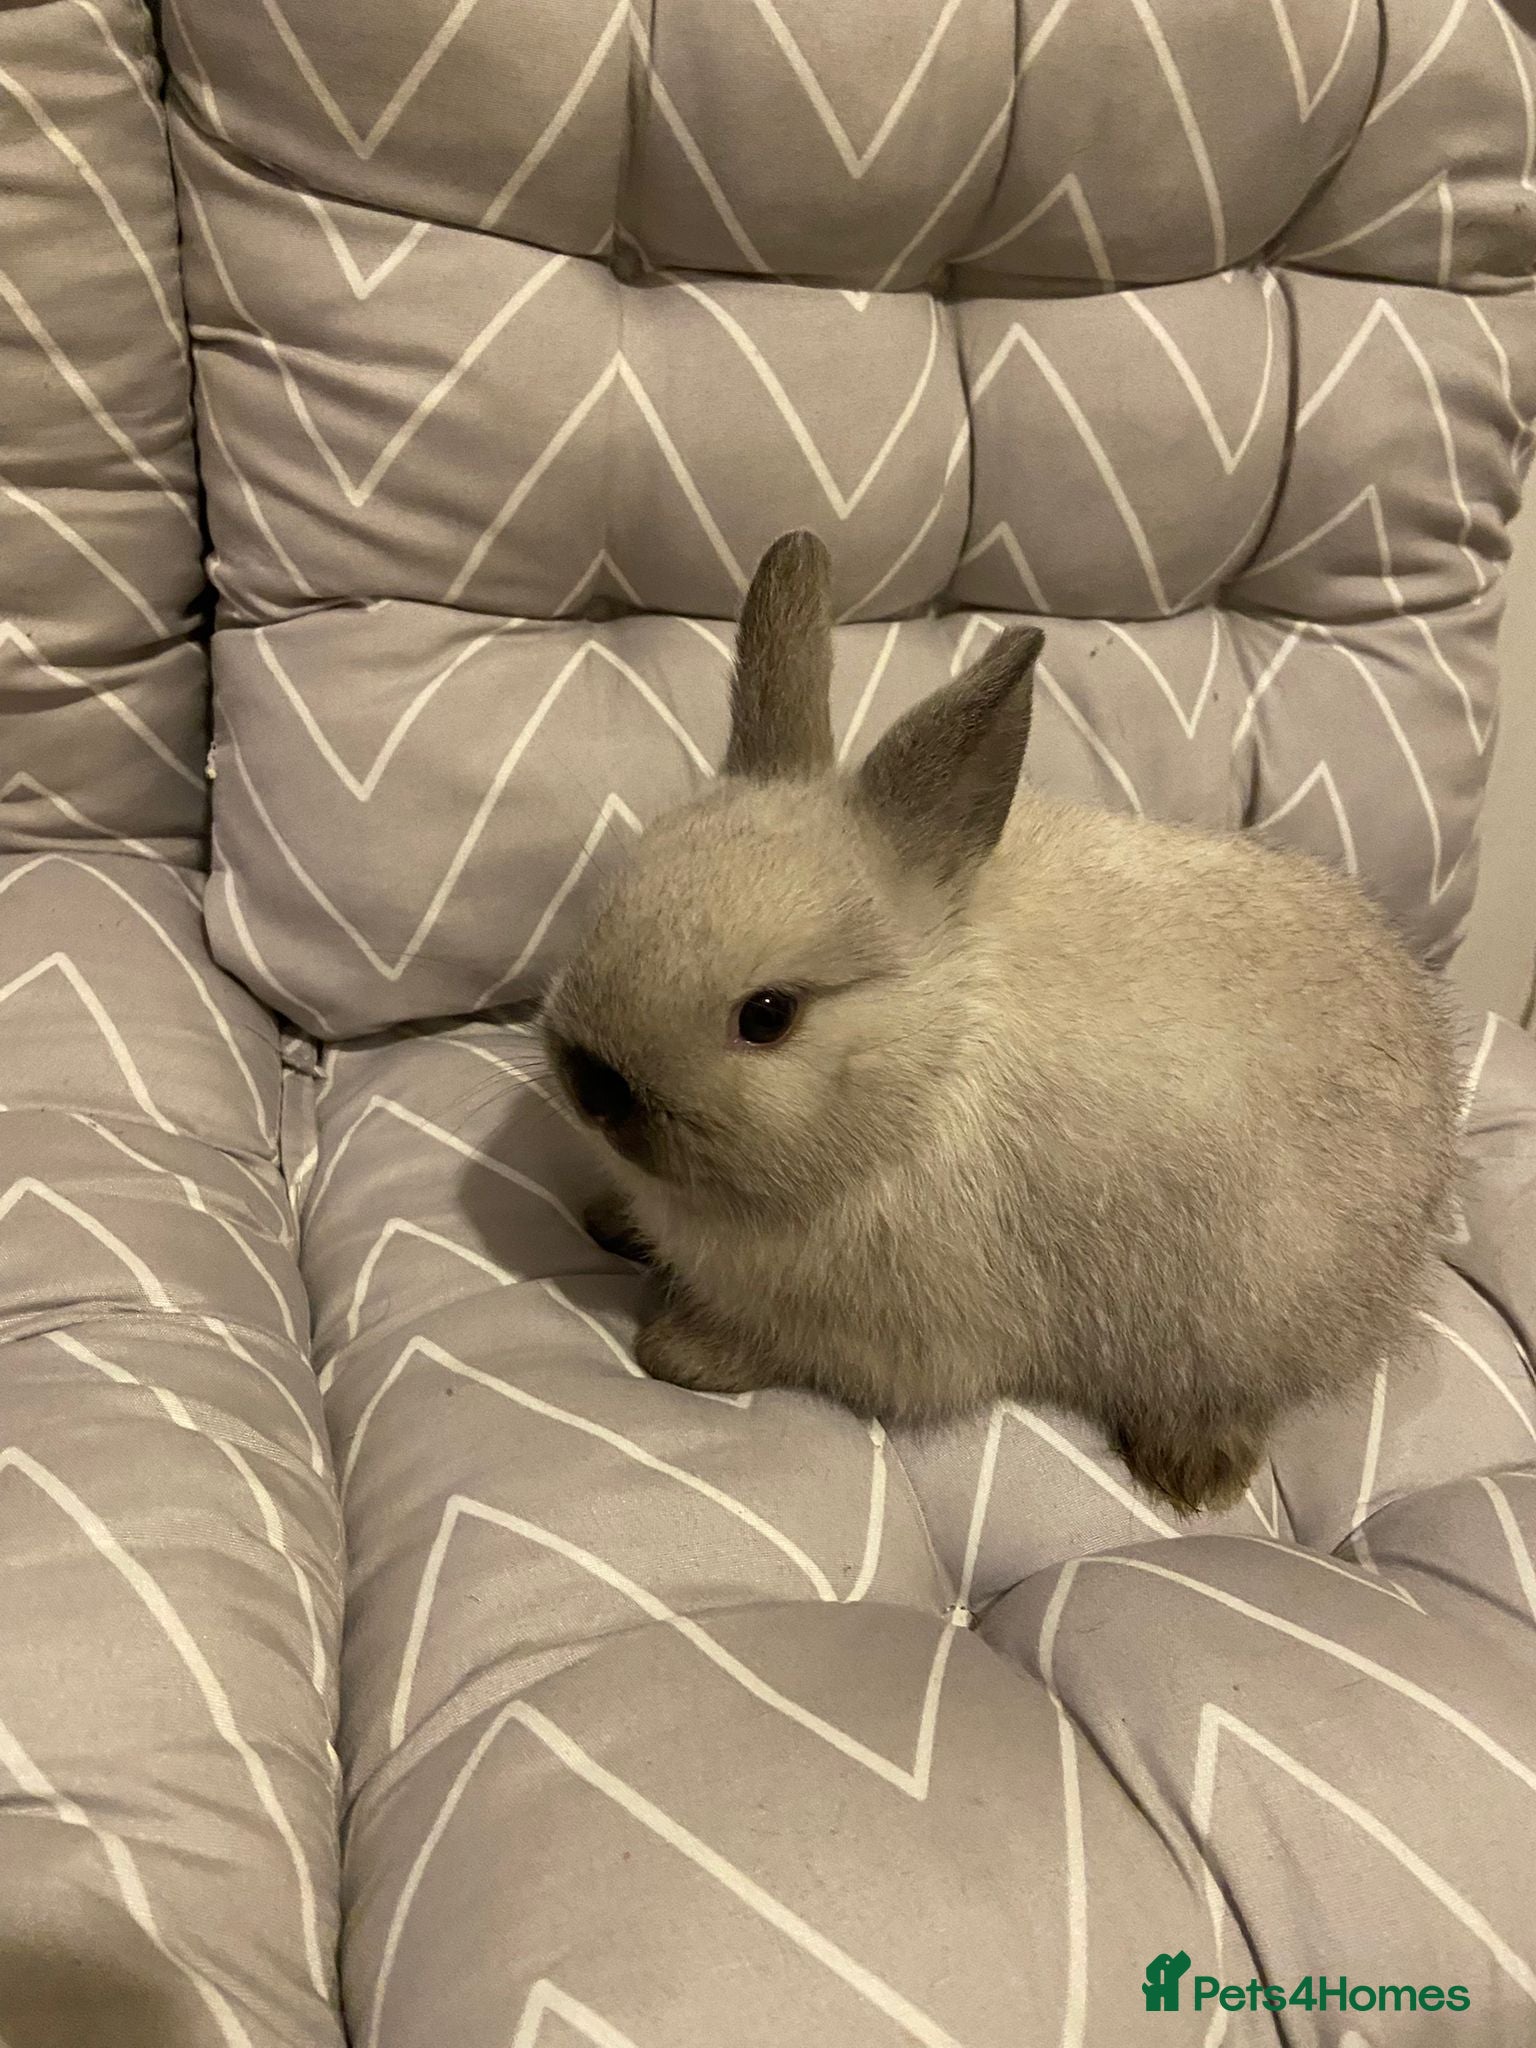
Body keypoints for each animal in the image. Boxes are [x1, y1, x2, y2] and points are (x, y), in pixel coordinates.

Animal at [539, 530, 1460, 1513]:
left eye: (767, 1016)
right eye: (615, 894)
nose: (592, 1082)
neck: (923, 1065)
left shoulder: (888, 1334)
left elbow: (772, 1351)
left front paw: (673, 1349)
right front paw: (608, 1220)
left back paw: (1191, 1473)